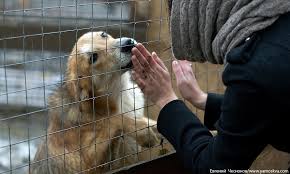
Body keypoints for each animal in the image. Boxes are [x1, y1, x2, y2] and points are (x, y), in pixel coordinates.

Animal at [31, 32, 161, 173]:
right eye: (93, 57)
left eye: (103, 35)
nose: (128, 44)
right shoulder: (89, 164)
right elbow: (115, 119)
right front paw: (143, 132)